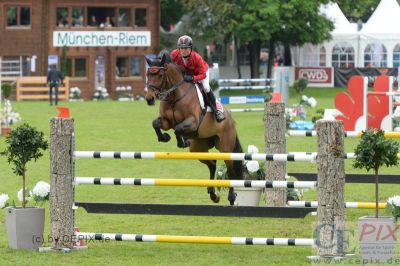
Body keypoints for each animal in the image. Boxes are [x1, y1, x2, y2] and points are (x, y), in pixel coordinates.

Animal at [145, 53, 242, 205]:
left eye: (160, 75)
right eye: (148, 74)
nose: (149, 99)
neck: (174, 96)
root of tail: (231, 119)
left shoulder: (193, 122)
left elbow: (178, 128)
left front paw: (182, 141)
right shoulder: (166, 122)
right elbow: (156, 123)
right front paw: (164, 137)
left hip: (226, 147)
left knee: (230, 170)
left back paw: (231, 198)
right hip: (198, 148)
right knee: (212, 164)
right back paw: (213, 194)